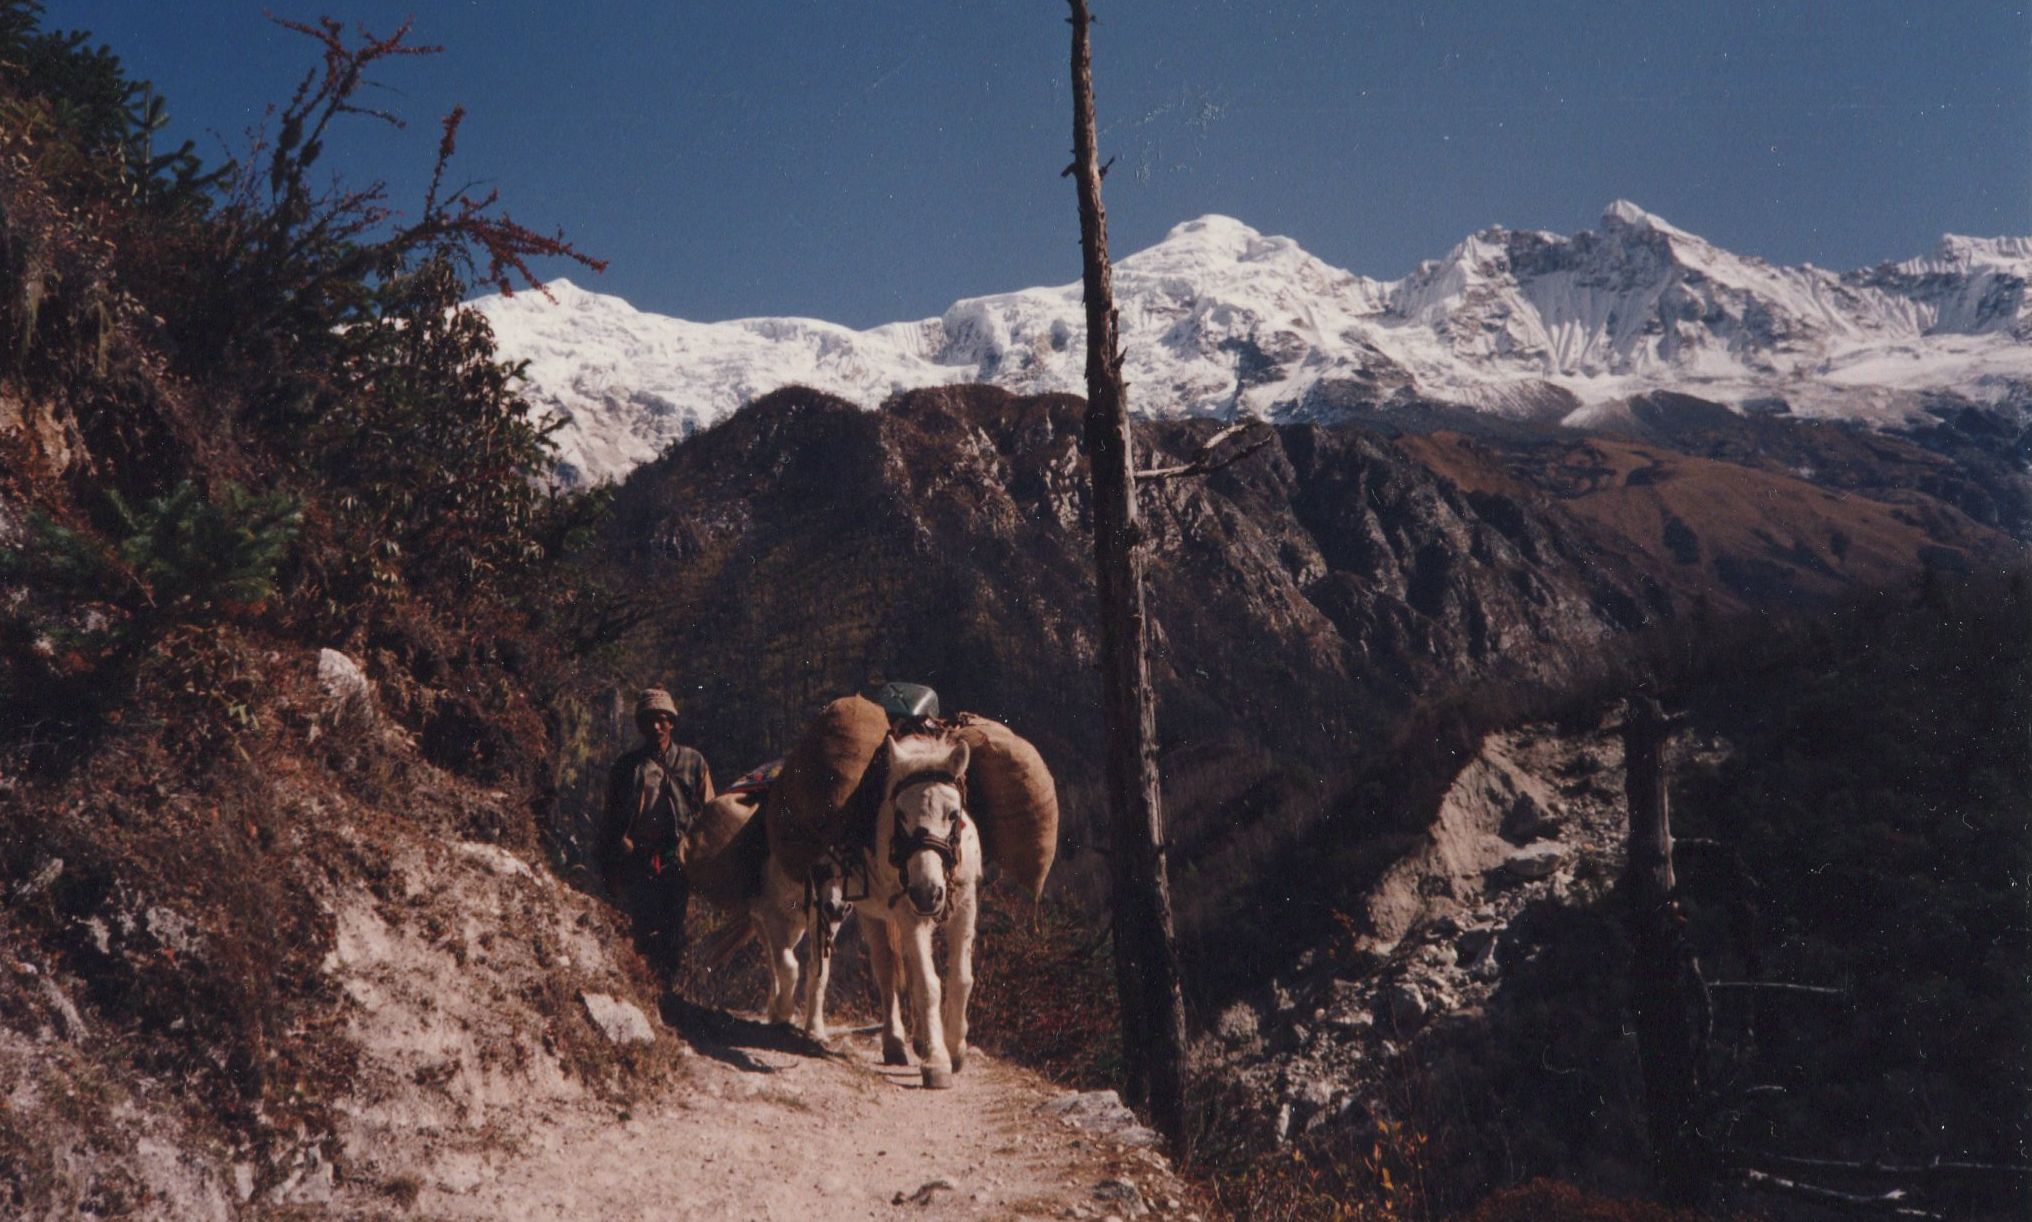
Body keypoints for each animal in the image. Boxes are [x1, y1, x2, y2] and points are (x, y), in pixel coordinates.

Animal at [812, 727, 987, 1089]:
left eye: (953, 814)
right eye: (901, 814)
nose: (927, 893)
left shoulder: (965, 907)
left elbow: (961, 978)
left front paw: (955, 1047)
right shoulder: (909, 915)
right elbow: (926, 984)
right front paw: (937, 1062)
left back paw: (921, 1039)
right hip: (873, 915)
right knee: (888, 971)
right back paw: (896, 1043)